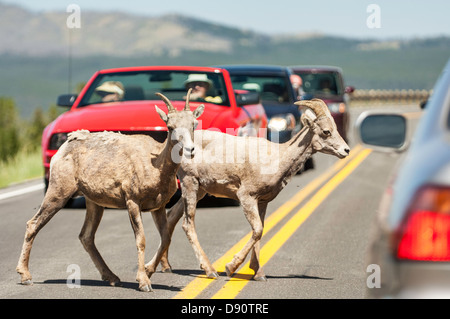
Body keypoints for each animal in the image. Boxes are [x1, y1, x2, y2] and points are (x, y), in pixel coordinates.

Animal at [16, 90, 204, 292]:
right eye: (170, 127)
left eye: (194, 124)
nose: (190, 150)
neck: (155, 166)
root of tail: (63, 148)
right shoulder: (132, 202)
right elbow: (141, 239)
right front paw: (144, 282)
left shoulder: (158, 207)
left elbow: (165, 238)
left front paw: (149, 271)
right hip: (58, 193)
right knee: (33, 224)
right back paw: (26, 277)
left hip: (94, 203)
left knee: (86, 236)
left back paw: (112, 277)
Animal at [160, 99, 350, 282]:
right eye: (326, 131)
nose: (346, 150)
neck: (276, 158)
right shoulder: (246, 197)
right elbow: (257, 230)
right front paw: (231, 267)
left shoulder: (262, 201)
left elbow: (260, 231)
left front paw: (259, 274)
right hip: (190, 183)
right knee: (187, 224)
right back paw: (210, 271)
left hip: (199, 190)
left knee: (171, 216)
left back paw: (165, 266)